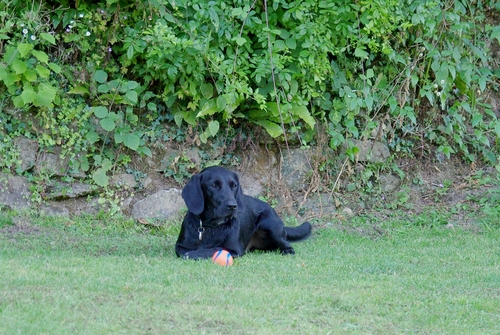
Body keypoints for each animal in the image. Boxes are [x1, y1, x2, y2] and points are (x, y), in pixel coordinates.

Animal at [174, 167, 310, 260]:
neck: (211, 226)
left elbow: (212, 249)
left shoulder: (235, 249)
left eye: (234, 185)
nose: (233, 206)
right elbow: (184, 251)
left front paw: (194, 253)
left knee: (286, 244)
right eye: (213, 185)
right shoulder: (180, 246)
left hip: (271, 226)